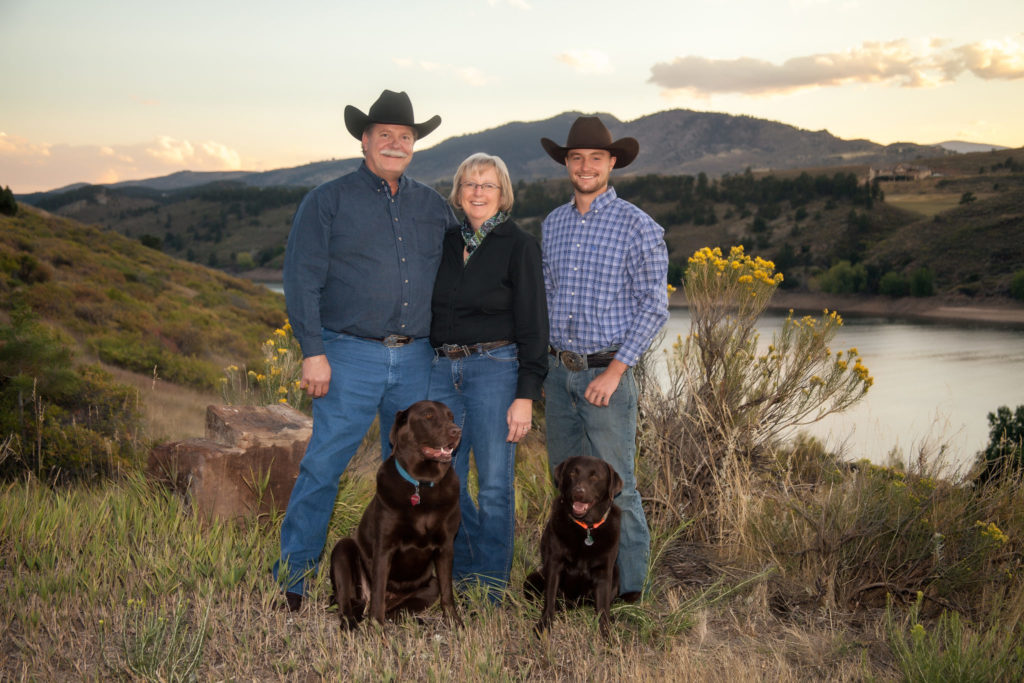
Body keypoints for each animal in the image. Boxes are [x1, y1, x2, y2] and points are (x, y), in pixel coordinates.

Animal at [329, 401, 462, 630]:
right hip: (343, 550)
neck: (421, 484)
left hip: (430, 586)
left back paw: (416, 622)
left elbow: (448, 593)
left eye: (450, 416)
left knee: (396, 611)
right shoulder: (384, 547)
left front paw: (455, 624)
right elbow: (378, 592)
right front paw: (376, 629)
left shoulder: (446, 547)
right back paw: (350, 624)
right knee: (348, 600)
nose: (457, 431)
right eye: (428, 416)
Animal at [528, 456, 622, 638]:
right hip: (533, 578)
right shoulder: (554, 565)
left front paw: (607, 635)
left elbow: (603, 609)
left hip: (615, 575)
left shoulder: (604, 574)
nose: (579, 492)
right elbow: (549, 598)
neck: (586, 528)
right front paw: (544, 625)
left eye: (594, 476)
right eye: (572, 473)